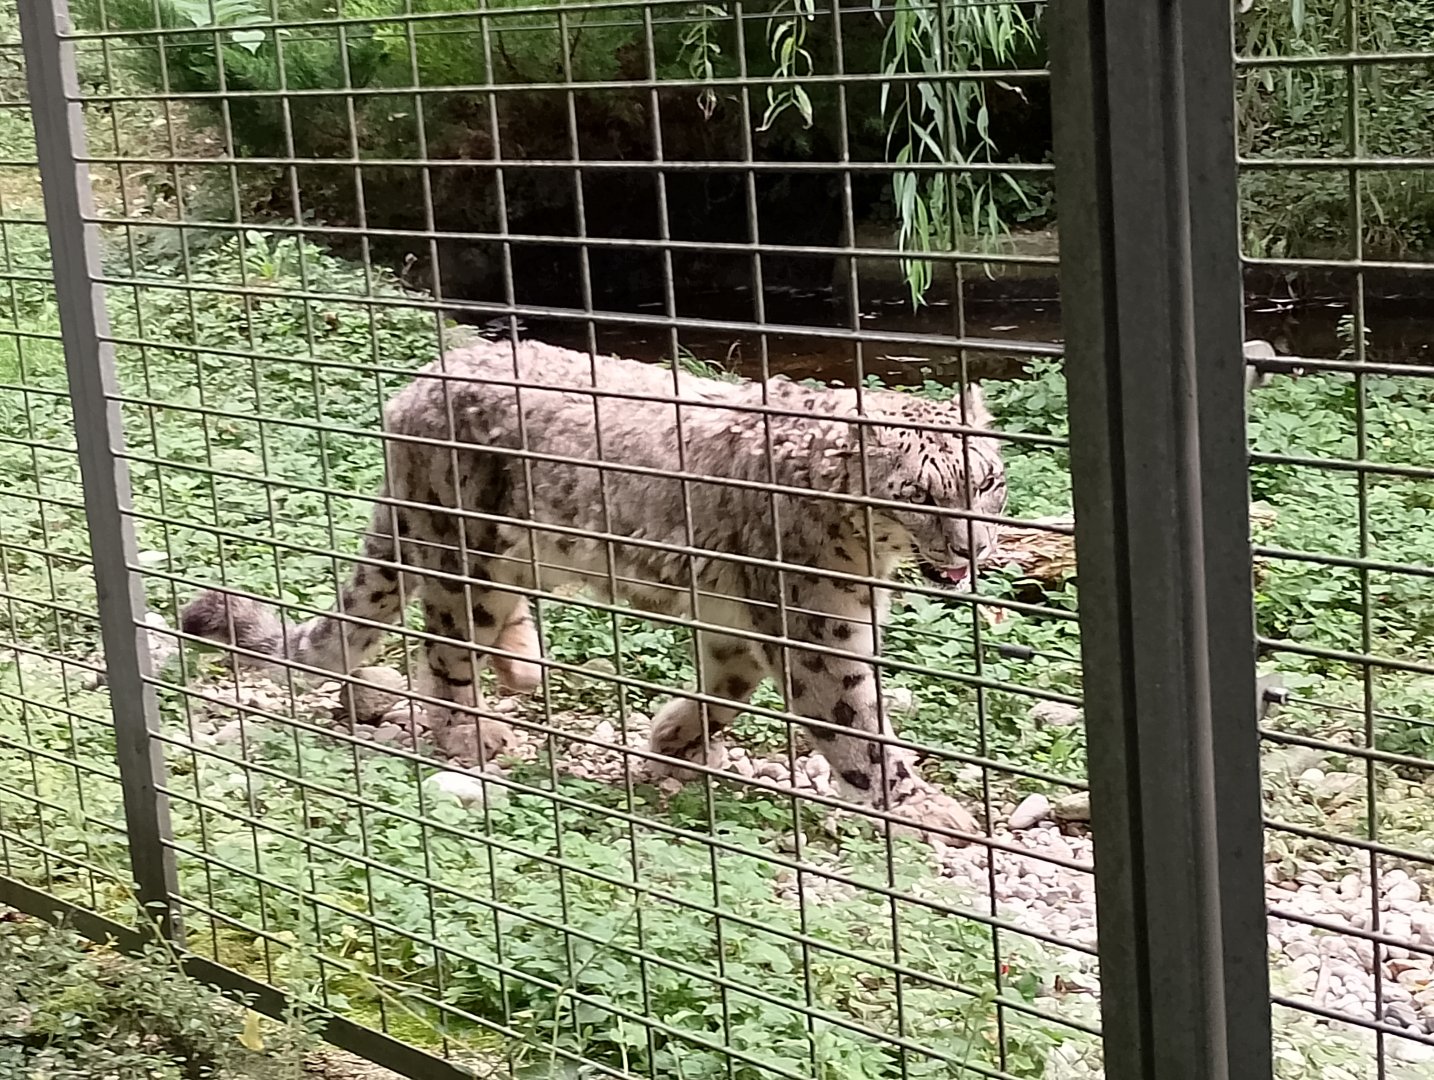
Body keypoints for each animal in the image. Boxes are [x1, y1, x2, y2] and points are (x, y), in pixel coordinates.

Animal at [180, 339, 1007, 807]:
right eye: (922, 496)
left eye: (987, 482)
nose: (973, 550)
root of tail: (413, 388)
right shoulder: (819, 628)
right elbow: (855, 726)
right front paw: (923, 810)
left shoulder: (742, 619)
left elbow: (727, 683)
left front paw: (669, 738)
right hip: (460, 545)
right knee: (445, 647)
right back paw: (473, 732)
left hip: (516, 549)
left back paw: (523, 664)